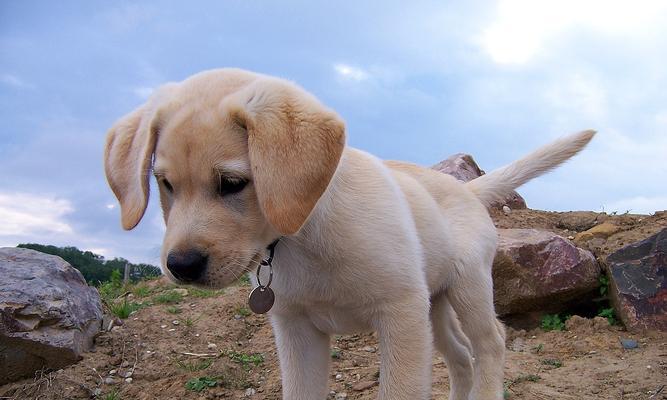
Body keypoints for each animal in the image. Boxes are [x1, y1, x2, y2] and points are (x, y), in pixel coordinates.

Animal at [104, 67, 596, 398]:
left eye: (232, 183)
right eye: (164, 184)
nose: (181, 266)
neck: (303, 236)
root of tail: (464, 187)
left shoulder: (400, 315)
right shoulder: (296, 330)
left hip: (468, 286)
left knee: (490, 342)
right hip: (434, 304)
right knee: (460, 357)